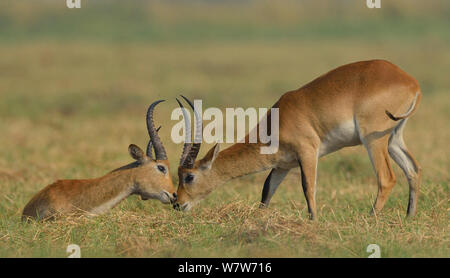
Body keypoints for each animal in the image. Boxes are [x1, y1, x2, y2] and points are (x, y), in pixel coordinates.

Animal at [173, 60, 422, 219]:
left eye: (189, 177)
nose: (177, 203)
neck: (278, 121)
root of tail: (411, 82)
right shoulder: (283, 165)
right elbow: (267, 191)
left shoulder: (308, 151)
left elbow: (308, 187)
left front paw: (314, 222)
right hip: (393, 139)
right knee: (413, 170)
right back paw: (409, 217)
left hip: (373, 139)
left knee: (386, 178)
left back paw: (370, 219)